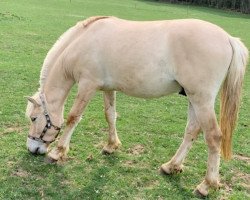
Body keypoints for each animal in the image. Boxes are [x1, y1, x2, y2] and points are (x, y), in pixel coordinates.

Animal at [25, 16, 248, 197]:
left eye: (34, 118)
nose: (32, 148)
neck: (83, 41)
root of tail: (228, 38)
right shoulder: (108, 88)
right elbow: (110, 115)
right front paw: (111, 146)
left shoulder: (87, 85)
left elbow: (73, 117)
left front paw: (58, 153)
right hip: (193, 99)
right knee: (192, 131)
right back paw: (171, 166)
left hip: (201, 99)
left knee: (213, 137)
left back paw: (207, 185)